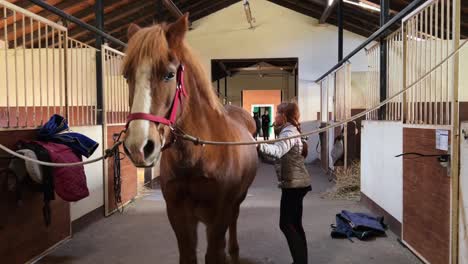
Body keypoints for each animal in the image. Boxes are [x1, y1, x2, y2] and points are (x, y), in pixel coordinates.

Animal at [122, 14, 258, 264]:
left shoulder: (219, 214)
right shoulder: (178, 214)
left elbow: (215, 253)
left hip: (236, 200)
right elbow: (188, 255)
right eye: (127, 76)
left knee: (234, 219)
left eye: (169, 74)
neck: (197, 154)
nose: (139, 146)